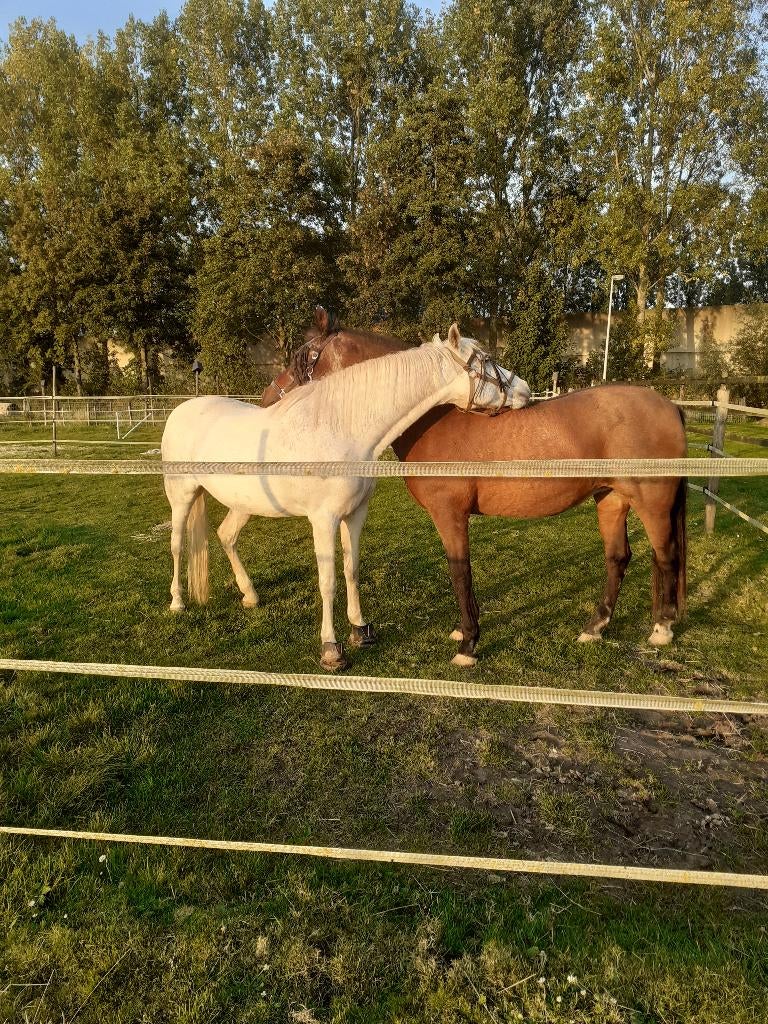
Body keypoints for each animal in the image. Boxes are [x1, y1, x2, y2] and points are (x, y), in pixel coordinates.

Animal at [162, 326, 531, 669]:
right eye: (486, 360)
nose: (525, 390)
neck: (342, 428)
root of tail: (183, 409)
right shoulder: (323, 520)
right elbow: (328, 581)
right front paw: (331, 649)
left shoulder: (354, 514)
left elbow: (351, 568)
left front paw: (360, 630)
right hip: (181, 495)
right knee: (177, 544)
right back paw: (177, 602)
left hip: (244, 503)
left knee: (226, 535)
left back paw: (250, 595)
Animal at [263, 308, 688, 666]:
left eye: (304, 358)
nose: (268, 401)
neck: (434, 420)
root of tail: (669, 406)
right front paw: (464, 632)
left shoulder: (450, 514)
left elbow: (459, 571)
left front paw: (468, 643)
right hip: (611, 498)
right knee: (618, 558)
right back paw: (595, 628)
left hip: (652, 502)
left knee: (665, 555)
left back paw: (662, 628)